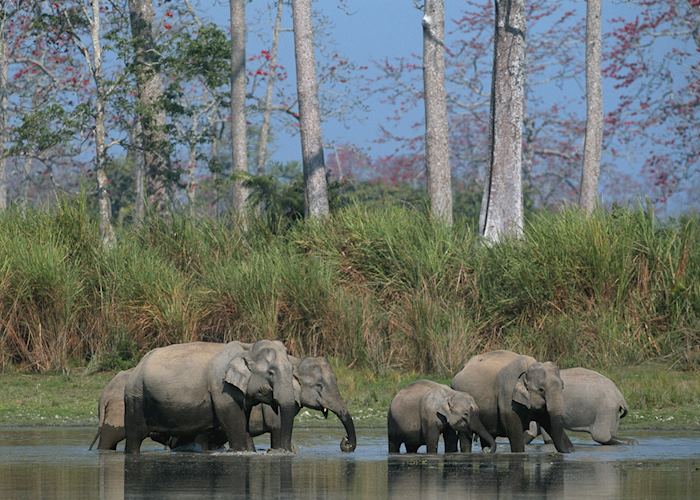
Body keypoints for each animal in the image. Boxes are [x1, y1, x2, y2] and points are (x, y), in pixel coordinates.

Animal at [123, 340, 298, 454]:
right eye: (271, 372)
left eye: (291, 370)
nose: (280, 451)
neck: (247, 348)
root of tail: (137, 366)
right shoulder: (221, 389)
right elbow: (235, 425)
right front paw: (240, 451)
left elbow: (244, 425)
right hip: (136, 398)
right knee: (134, 437)